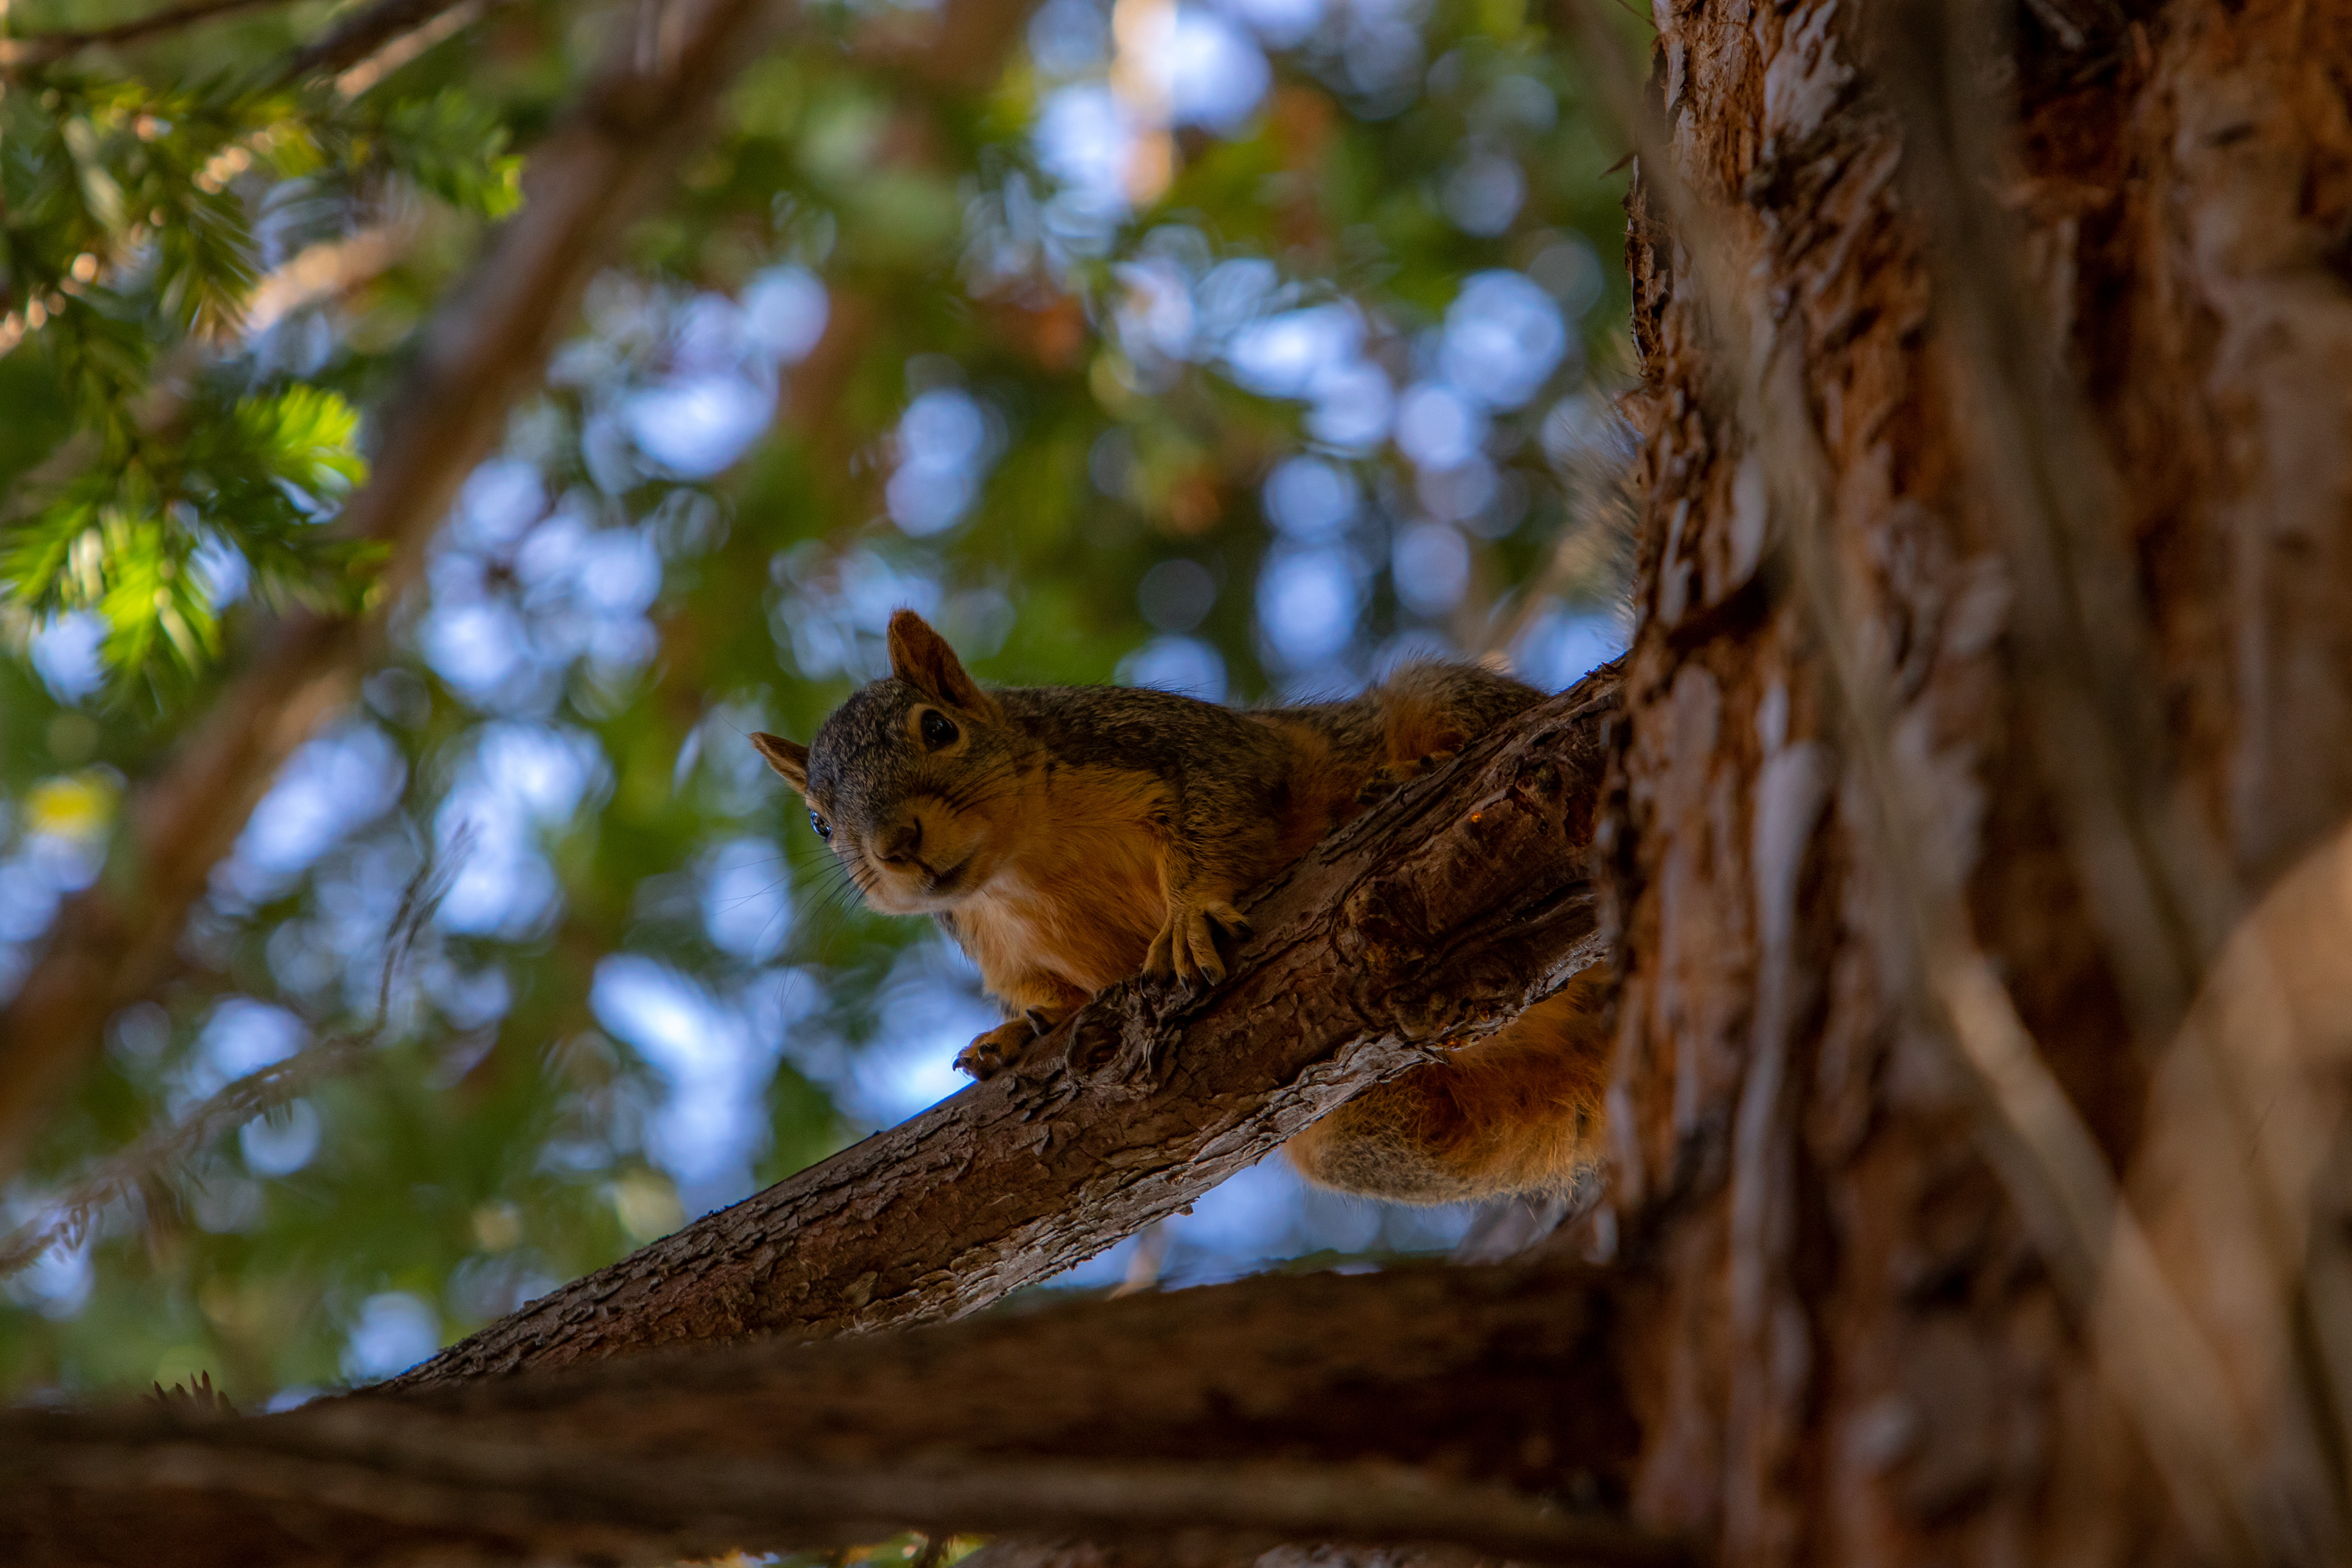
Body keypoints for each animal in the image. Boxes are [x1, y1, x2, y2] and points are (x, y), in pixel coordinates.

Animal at [750, 609, 1608, 1203]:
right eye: (821, 824)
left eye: (937, 727)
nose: (895, 844)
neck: (1023, 868)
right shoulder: (999, 944)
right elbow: (1049, 995)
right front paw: (1014, 1033)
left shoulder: (1179, 749)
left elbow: (1218, 814)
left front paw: (1190, 914)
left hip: (1440, 699)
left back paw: (1407, 771)